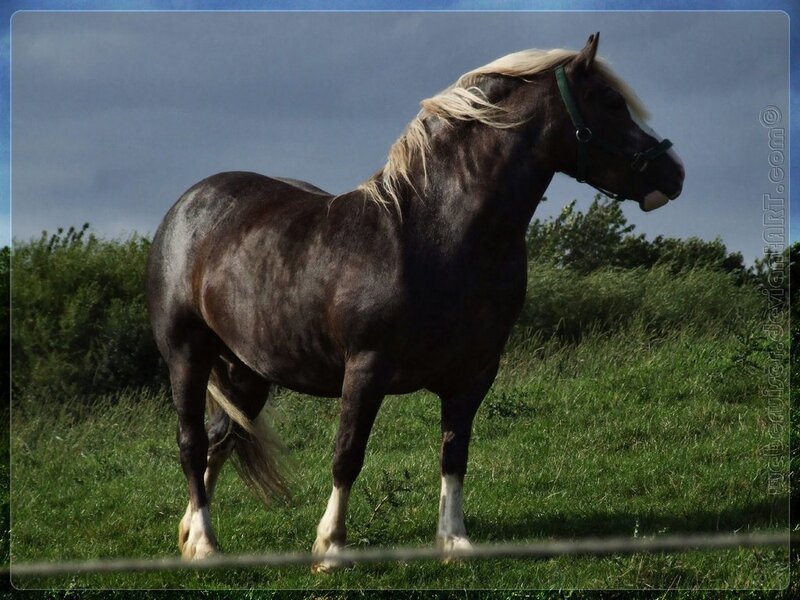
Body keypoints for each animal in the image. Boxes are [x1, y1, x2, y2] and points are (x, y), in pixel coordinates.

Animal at [145, 33, 684, 570]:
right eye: (610, 102)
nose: (674, 172)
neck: (433, 234)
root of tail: (188, 205)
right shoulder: (366, 369)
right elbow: (347, 454)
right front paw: (331, 547)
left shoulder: (474, 375)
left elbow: (454, 453)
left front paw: (454, 541)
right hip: (188, 356)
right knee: (193, 443)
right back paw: (206, 543)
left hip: (248, 370)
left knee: (221, 441)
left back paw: (192, 536)